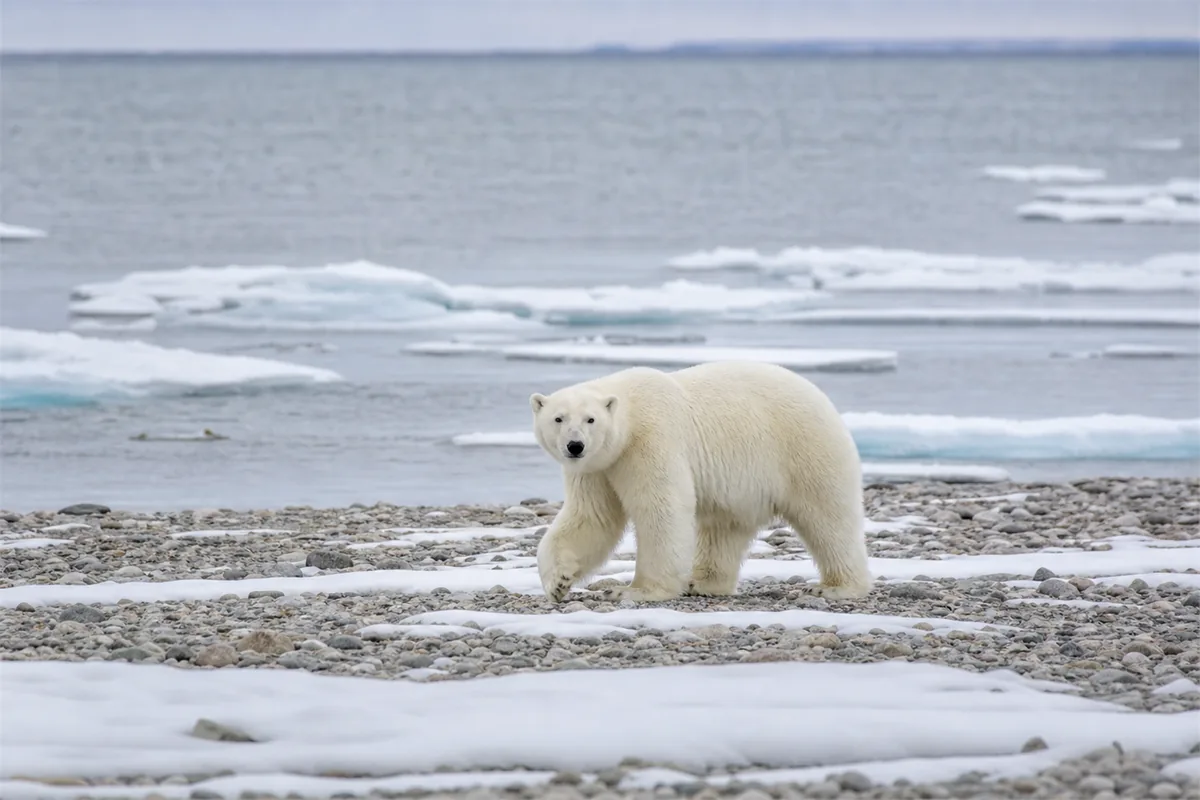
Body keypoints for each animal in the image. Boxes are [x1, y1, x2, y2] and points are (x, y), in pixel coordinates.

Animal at [529, 360, 872, 604]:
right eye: (558, 418)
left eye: (591, 419)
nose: (575, 446)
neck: (631, 414)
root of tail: (822, 399)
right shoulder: (598, 468)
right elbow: (591, 517)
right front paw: (558, 582)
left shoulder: (652, 440)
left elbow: (662, 509)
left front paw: (635, 591)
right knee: (723, 529)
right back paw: (703, 582)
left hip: (805, 448)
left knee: (827, 517)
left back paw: (836, 587)